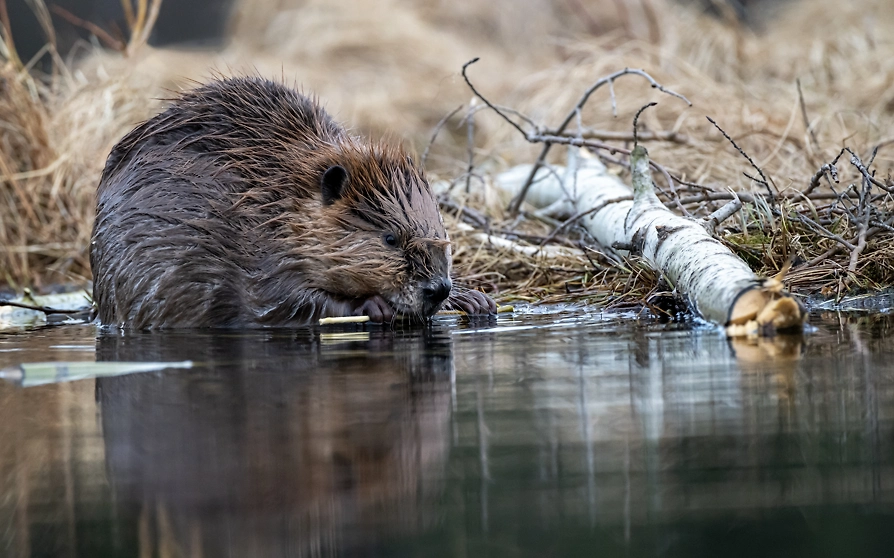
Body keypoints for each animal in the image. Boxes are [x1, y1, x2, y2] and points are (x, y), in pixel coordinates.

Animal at [90, 77, 495, 328]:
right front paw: (372, 306)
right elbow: (278, 301)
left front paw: (475, 300)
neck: (272, 200)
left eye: (441, 231)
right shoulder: (253, 254)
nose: (437, 288)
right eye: (390, 239)